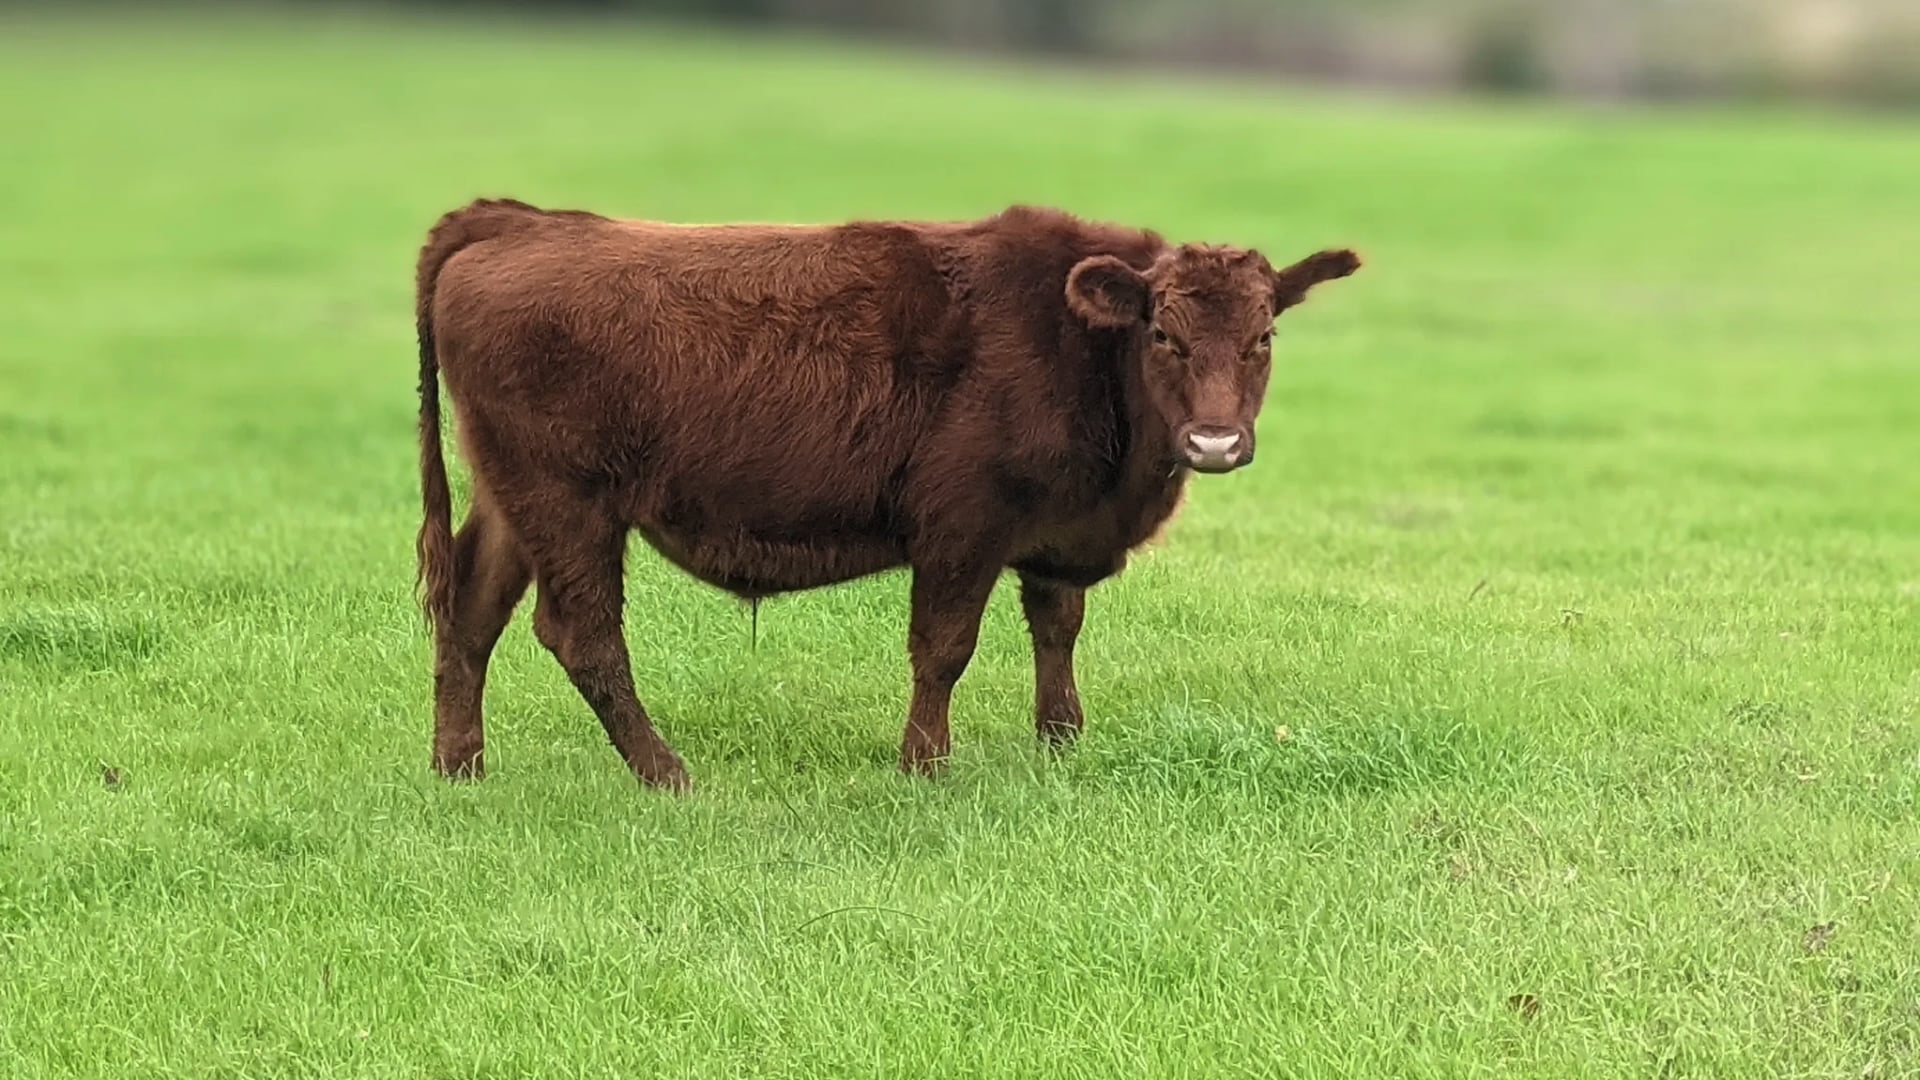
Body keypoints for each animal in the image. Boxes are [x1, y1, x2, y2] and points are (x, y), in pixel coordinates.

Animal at [414, 198, 1359, 791]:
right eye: (1162, 332)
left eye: (1264, 336)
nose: (1215, 441)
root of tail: (517, 220)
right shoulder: (962, 529)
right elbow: (943, 649)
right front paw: (923, 765)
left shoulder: (1052, 539)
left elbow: (1057, 633)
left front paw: (1060, 743)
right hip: (568, 504)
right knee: (582, 635)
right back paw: (669, 774)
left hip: (511, 502)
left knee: (470, 613)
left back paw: (461, 767)